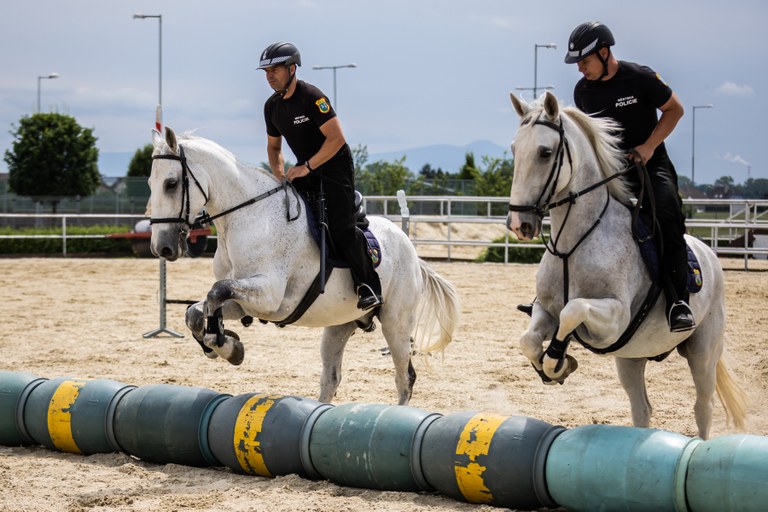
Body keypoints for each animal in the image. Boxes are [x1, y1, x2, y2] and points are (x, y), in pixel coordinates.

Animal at [147, 127, 460, 404]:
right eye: (150, 184)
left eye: (171, 183)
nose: (162, 247)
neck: (247, 218)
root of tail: (411, 251)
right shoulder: (247, 302)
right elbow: (196, 311)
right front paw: (226, 344)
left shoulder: (269, 296)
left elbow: (216, 291)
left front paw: (225, 344)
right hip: (339, 326)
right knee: (331, 379)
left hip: (396, 324)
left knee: (404, 377)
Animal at [508, 91, 748, 436]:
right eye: (515, 149)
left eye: (545, 152)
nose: (519, 224)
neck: (574, 244)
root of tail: (709, 255)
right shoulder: (545, 310)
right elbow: (529, 340)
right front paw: (555, 364)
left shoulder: (615, 319)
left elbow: (573, 310)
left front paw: (556, 361)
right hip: (631, 358)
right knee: (642, 409)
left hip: (703, 352)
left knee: (703, 407)